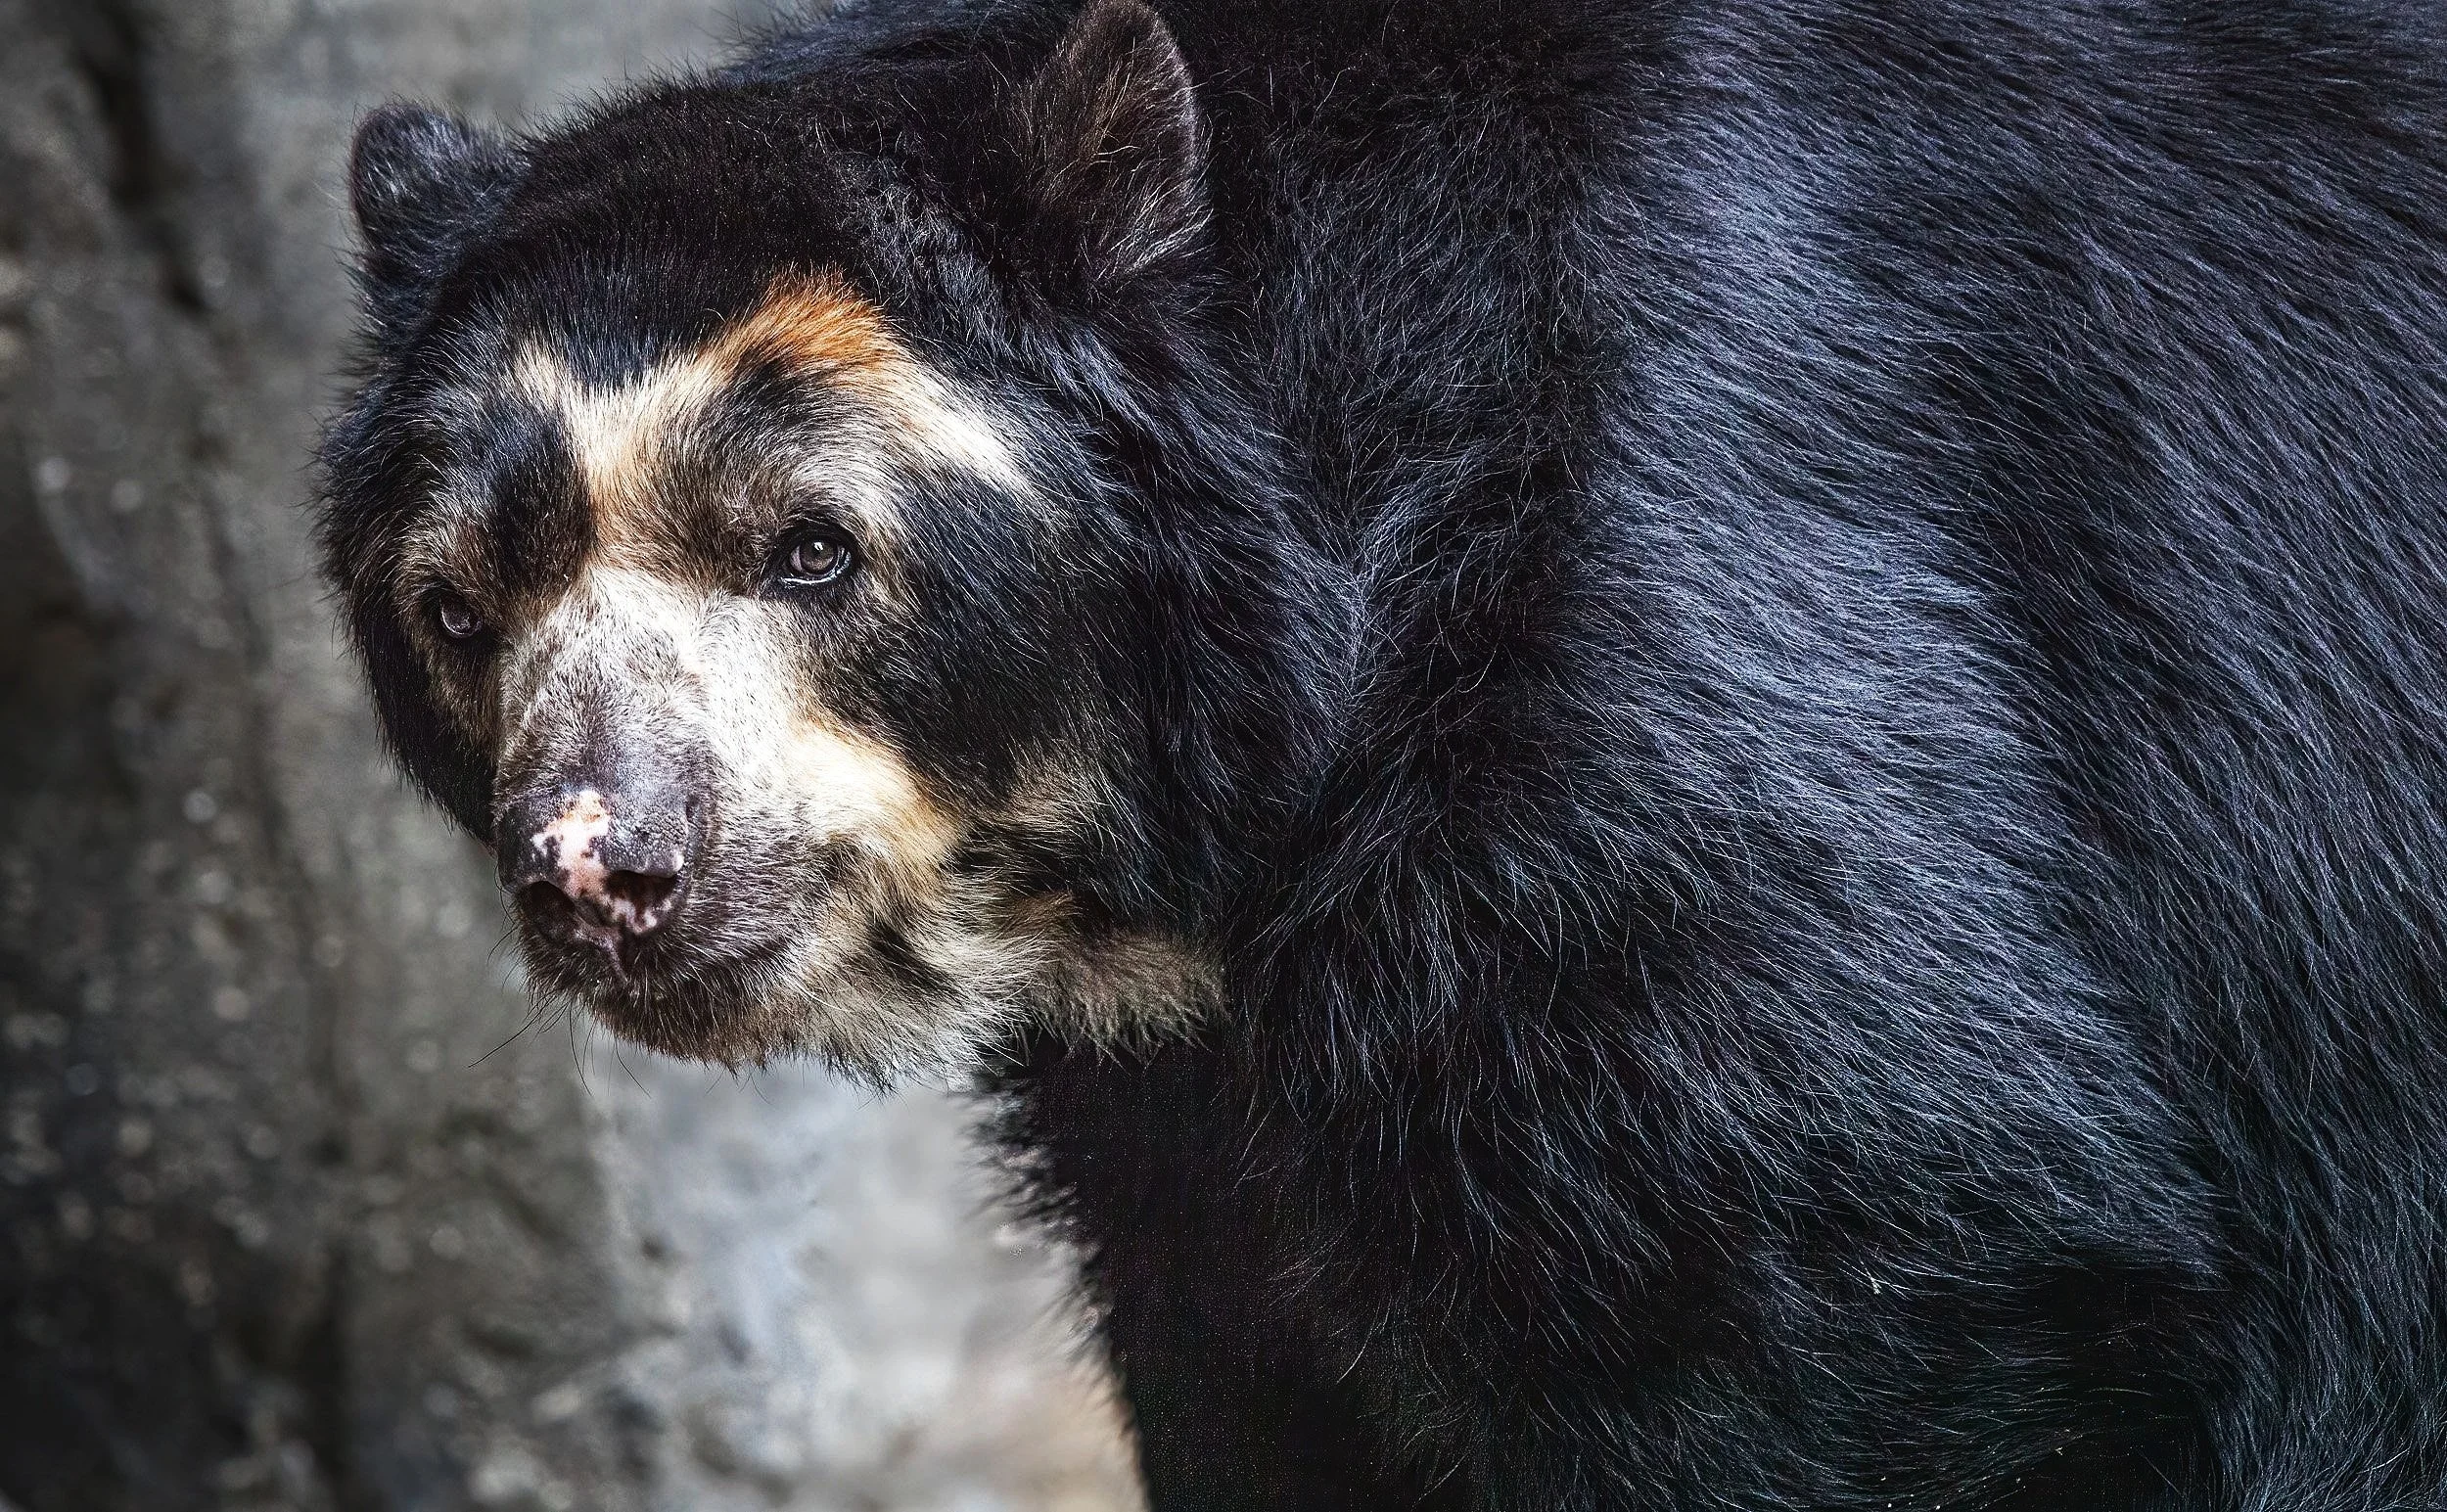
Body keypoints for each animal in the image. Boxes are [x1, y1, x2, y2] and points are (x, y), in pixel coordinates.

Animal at [316, 0, 2447, 1505]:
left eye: (811, 548)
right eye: (453, 606)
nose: (605, 865)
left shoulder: (1672, 643)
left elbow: (1867, 1225)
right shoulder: (1194, 1114)